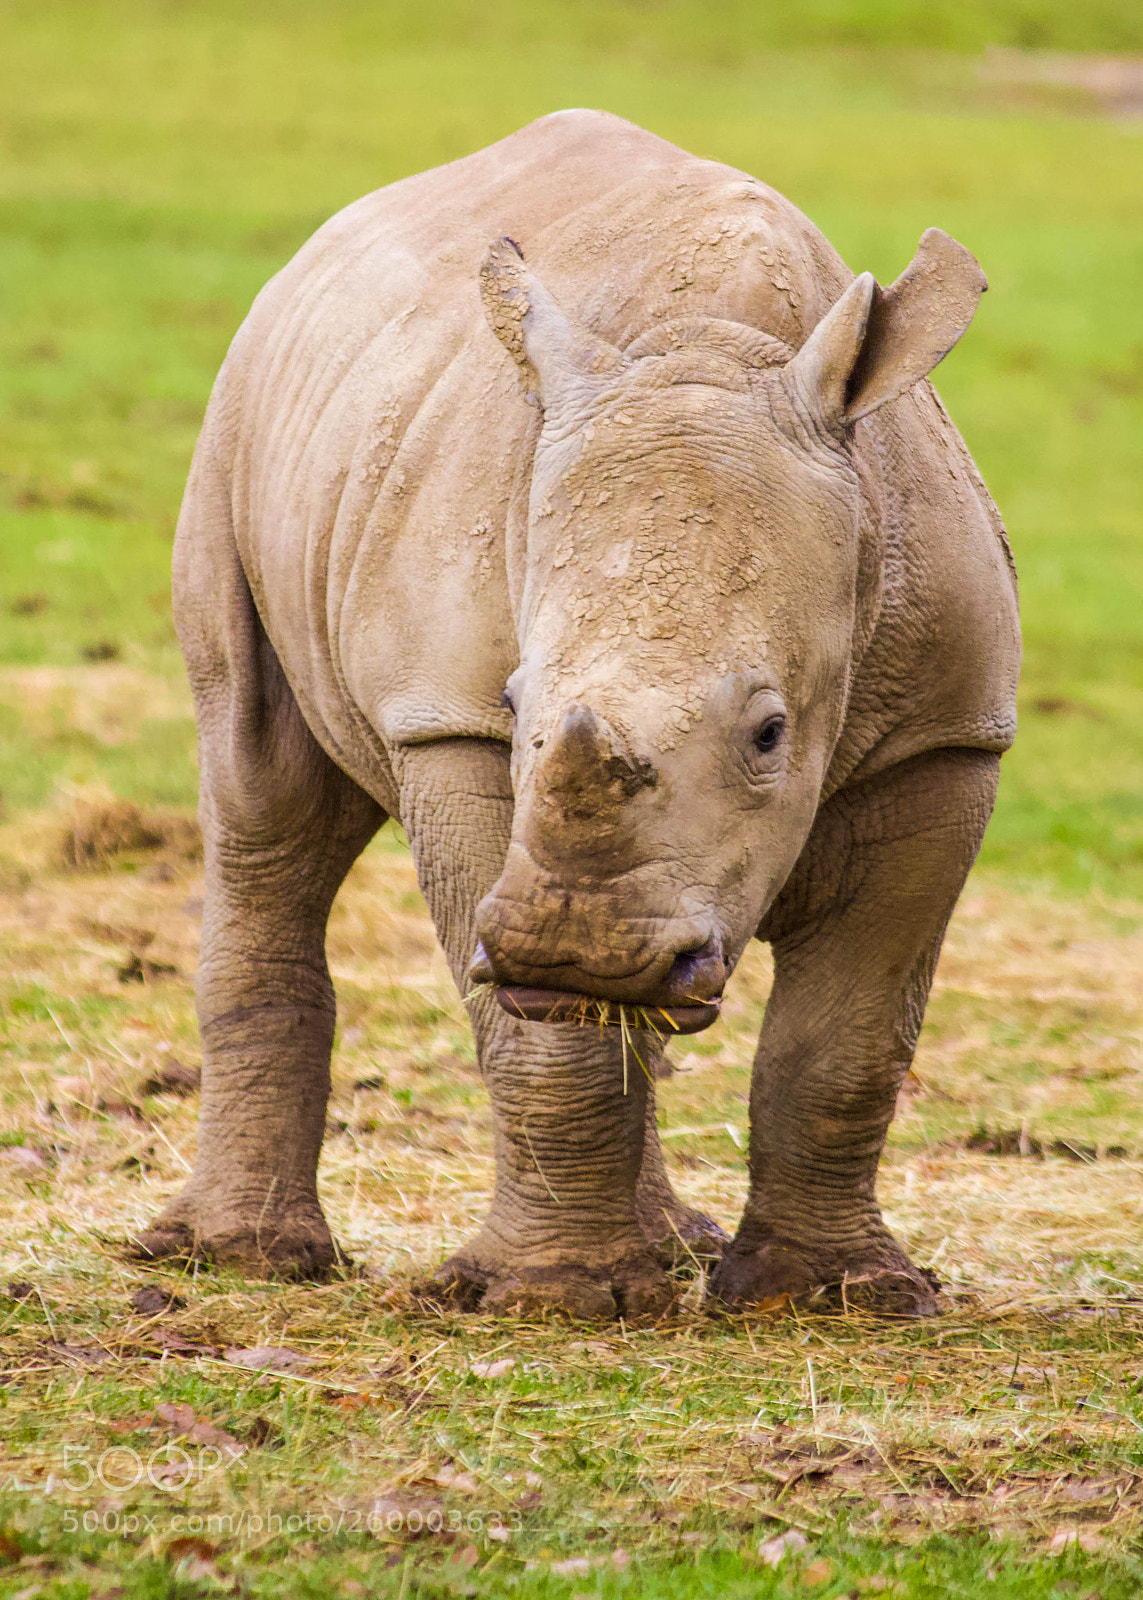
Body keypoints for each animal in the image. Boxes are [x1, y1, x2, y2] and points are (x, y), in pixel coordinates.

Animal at [137, 110, 1019, 1320]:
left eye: (770, 732)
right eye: (515, 705)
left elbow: (844, 1044)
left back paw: (672, 1245)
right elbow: (536, 1040)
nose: (574, 950)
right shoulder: (448, 717)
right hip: (240, 420)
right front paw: (549, 1298)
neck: (709, 346)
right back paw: (243, 1260)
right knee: (262, 798)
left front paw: (833, 1296)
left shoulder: (941, 739)